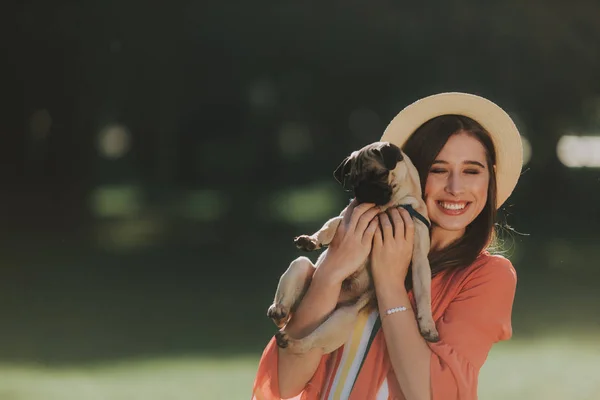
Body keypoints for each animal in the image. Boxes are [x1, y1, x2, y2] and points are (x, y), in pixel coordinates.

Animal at [268, 142, 440, 354]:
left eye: (379, 174)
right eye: (352, 180)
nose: (362, 189)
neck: (388, 207)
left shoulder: (419, 260)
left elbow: (424, 295)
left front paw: (428, 326)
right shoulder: (346, 218)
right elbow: (329, 226)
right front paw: (312, 240)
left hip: (342, 318)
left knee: (310, 342)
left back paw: (289, 338)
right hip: (300, 266)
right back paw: (279, 310)